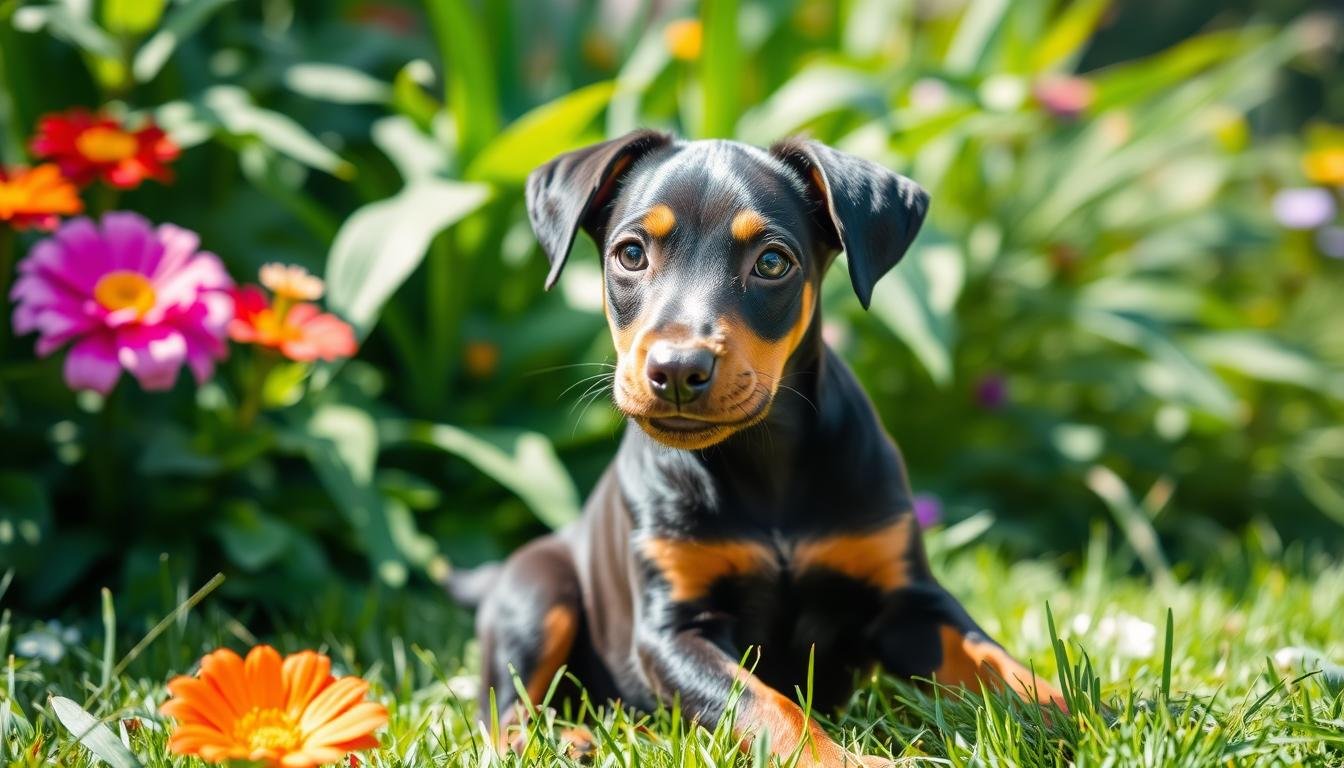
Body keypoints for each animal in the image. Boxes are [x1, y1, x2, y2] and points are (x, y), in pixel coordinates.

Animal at [446, 130, 1064, 763]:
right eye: (631, 255)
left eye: (771, 262)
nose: (676, 369)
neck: (763, 460)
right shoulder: (675, 629)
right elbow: (765, 704)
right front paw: (839, 758)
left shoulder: (908, 601)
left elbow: (998, 662)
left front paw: (1077, 714)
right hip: (536, 594)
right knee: (500, 713)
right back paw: (567, 741)